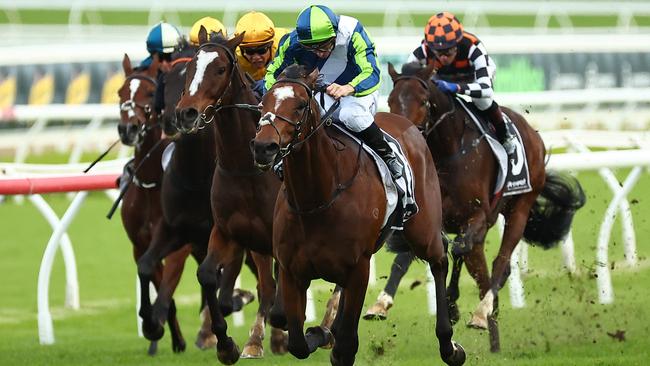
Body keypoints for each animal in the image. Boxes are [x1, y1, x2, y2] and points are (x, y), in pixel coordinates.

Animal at [117, 54, 192, 354]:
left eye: (150, 93)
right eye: (120, 93)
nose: (127, 128)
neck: (152, 183)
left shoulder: (179, 245)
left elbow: (168, 285)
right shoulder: (141, 245)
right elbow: (155, 282)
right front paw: (167, 335)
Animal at [172, 28, 286, 364]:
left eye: (221, 69)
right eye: (191, 67)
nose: (186, 113)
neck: (245, 168)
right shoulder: (227, 231)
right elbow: (209, 276)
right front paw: (226, 344)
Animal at [251, 65, 464, 366]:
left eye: (301, 105)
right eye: (263, 103)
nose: (263, 147)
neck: (316, 200)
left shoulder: (358, 268)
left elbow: (345, 346)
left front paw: (327, 334)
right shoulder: (292, 270)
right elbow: (296, 340)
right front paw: (319, 332)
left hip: (423, 230)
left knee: (439, 259)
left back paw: (449, 345)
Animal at [382, 62, 584, 352]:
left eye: (423, 101)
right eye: (390, 100)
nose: (400, 133)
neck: (448, 153)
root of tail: (532, 133)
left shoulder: (476, 215)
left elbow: (458, 248)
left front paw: (453, 304)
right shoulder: (429, 218)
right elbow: (412, 256)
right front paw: (382, 302)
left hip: (519, 209)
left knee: (501, 264)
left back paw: (482, 313)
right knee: (482, 272)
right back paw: (493, 336)